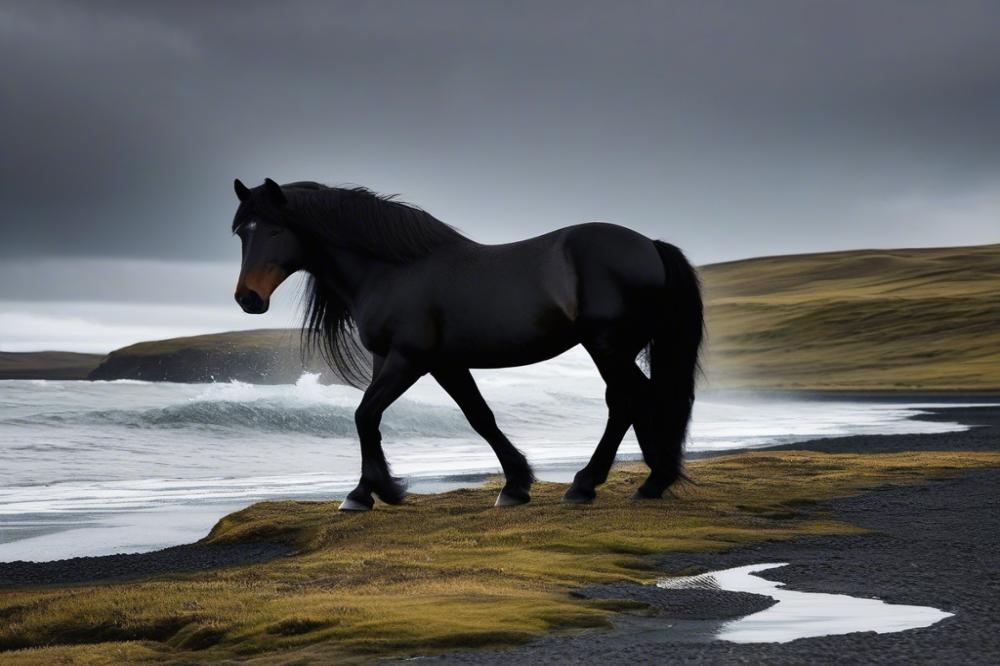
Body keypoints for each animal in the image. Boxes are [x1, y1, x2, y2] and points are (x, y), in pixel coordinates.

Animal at [233, 176, 704, 508]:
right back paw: (636, 480)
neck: (392, 270)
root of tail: (650, 245)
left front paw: (374, 492)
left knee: (630, 398)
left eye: (274, 231)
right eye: (242, 233)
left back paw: (609, 482)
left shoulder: (411, 360)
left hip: (605, 346)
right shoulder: (425, 361)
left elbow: (366, 414)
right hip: (614, 348)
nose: (247, 299)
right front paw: (514, 485)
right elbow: (477, 416)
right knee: (630, 400)